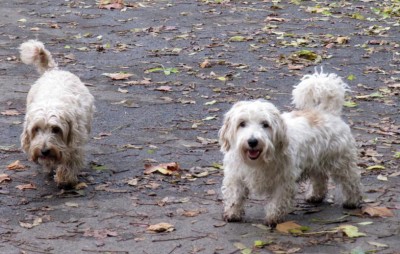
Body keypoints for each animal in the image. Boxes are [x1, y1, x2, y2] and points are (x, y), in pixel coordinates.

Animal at [19, 39, 94, 187]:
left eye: (56, 129)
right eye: (36, 129)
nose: (44, 151)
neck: (51, 103)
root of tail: (53, 71)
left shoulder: (75, 141)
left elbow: (71, 159)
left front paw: (65, 178)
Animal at [219, 70, 362, 225]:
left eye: (265, 124)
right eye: (242, 123)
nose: (252, 141)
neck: (259, 161)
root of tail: (326, 112)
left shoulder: (283, 181)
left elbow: (277, 201)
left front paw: (273, 218)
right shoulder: (236, 177)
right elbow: (235, 197)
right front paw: (232, 213)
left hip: (342, 163)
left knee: (351, 181)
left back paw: (352, 201)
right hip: (316, 162)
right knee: (320, 179)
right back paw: (315, 195)